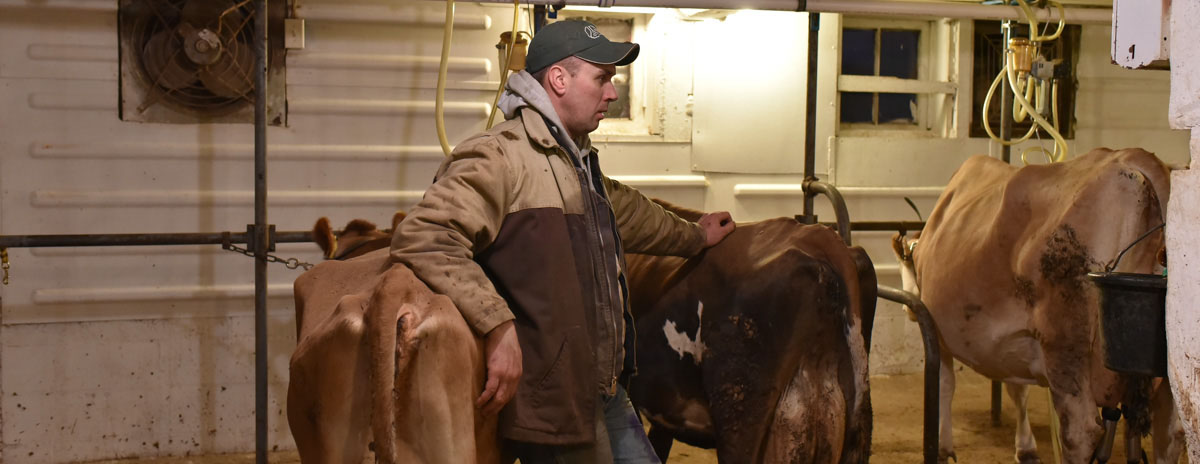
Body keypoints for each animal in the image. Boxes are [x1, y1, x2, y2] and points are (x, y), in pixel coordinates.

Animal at [892, 147, 1184, 463]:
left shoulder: (940, 332)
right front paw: (1026, 448)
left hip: (1065, 344)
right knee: (1171, 434)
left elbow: (945, 386)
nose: (907, 310)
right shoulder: (1014, 341)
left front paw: (944, 447)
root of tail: (1134, 156)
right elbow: (1017, 389)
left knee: (1080, 433)